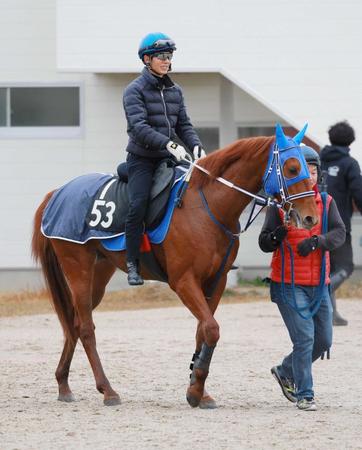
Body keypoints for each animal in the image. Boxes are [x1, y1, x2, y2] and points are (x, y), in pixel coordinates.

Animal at [32, 130, 318, 408]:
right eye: (292, 168)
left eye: (306, 167)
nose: (310, 217)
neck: (208, 207)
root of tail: (59, 192)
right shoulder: (183, 282)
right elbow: (211, 329)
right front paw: (196, 389)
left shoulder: (216, 282)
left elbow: (202, 332)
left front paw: (198, 389)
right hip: (77, 268)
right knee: (86, 329)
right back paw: (107, 390)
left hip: (99, 275)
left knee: (75, 324)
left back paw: (63, 384)